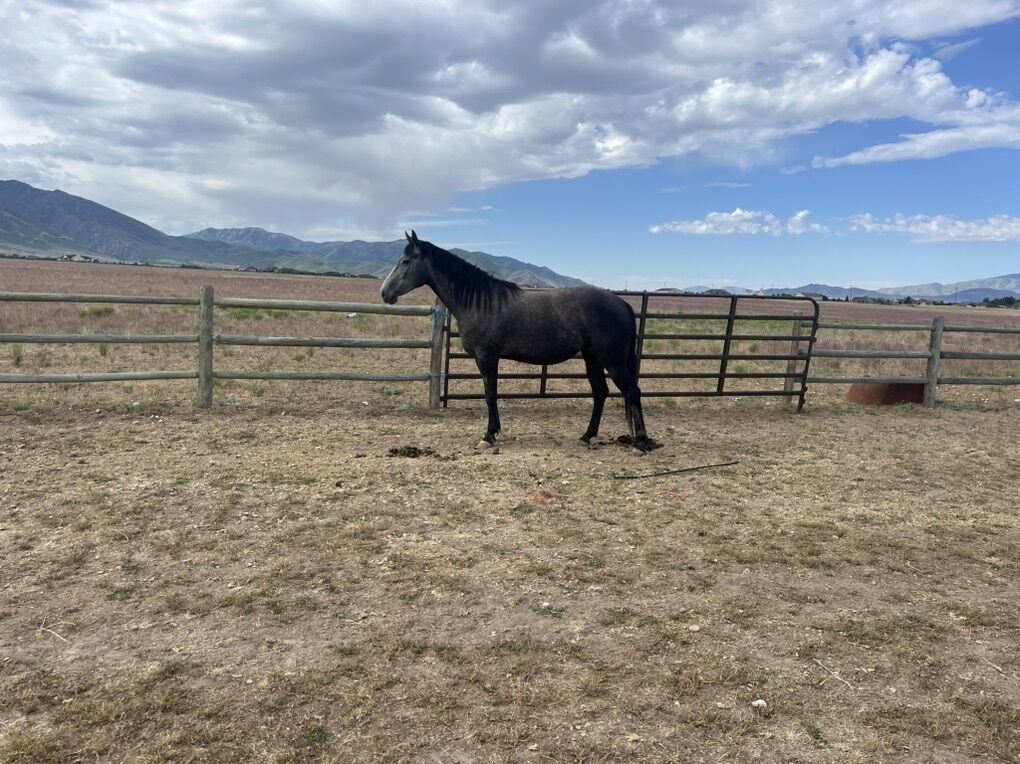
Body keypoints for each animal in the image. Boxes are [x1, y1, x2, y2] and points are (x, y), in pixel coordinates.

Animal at [380, 231, 650, 453]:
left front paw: (489, 436)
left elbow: (490, 394)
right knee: (600, 392)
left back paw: (640, 443)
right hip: (592, 358)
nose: (384, 293)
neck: (479, 302)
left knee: (632, 392)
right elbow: (492, 393)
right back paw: (587, 436)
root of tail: (620, 303)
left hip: (612, 362)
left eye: (405, 261)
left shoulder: (486, 357)